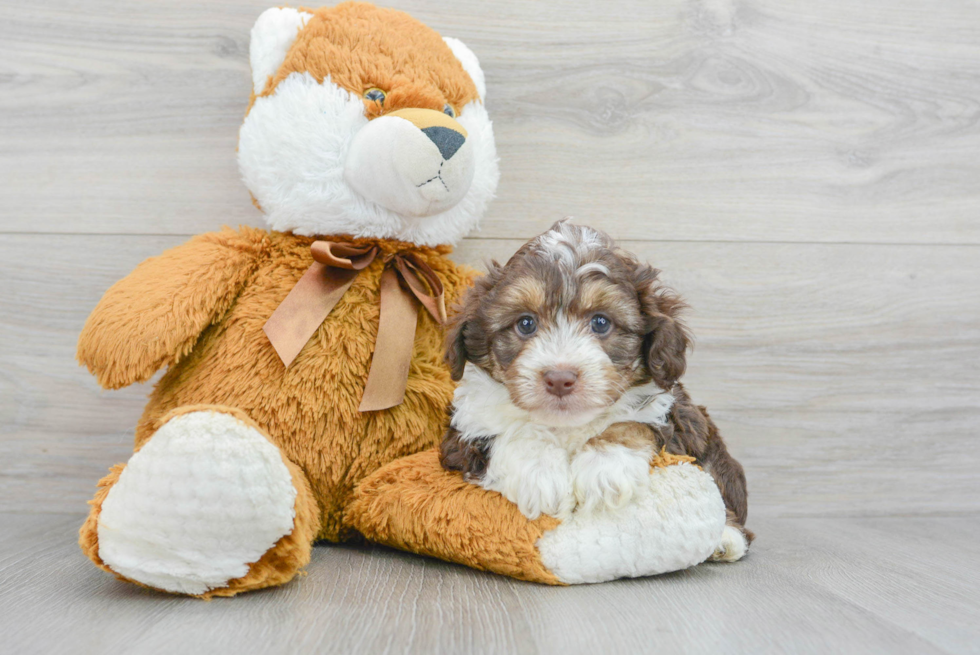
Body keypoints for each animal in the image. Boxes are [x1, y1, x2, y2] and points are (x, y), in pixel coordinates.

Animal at [440, 222, 756, 564]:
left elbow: (631, 425)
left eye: (601, 322)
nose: (560, 378)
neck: (566, 425)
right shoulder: (464, 432)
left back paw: (727, 538)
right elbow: (510, 433)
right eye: (525, 324)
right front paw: (540, 474)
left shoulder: (670, 413)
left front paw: (604, 468)